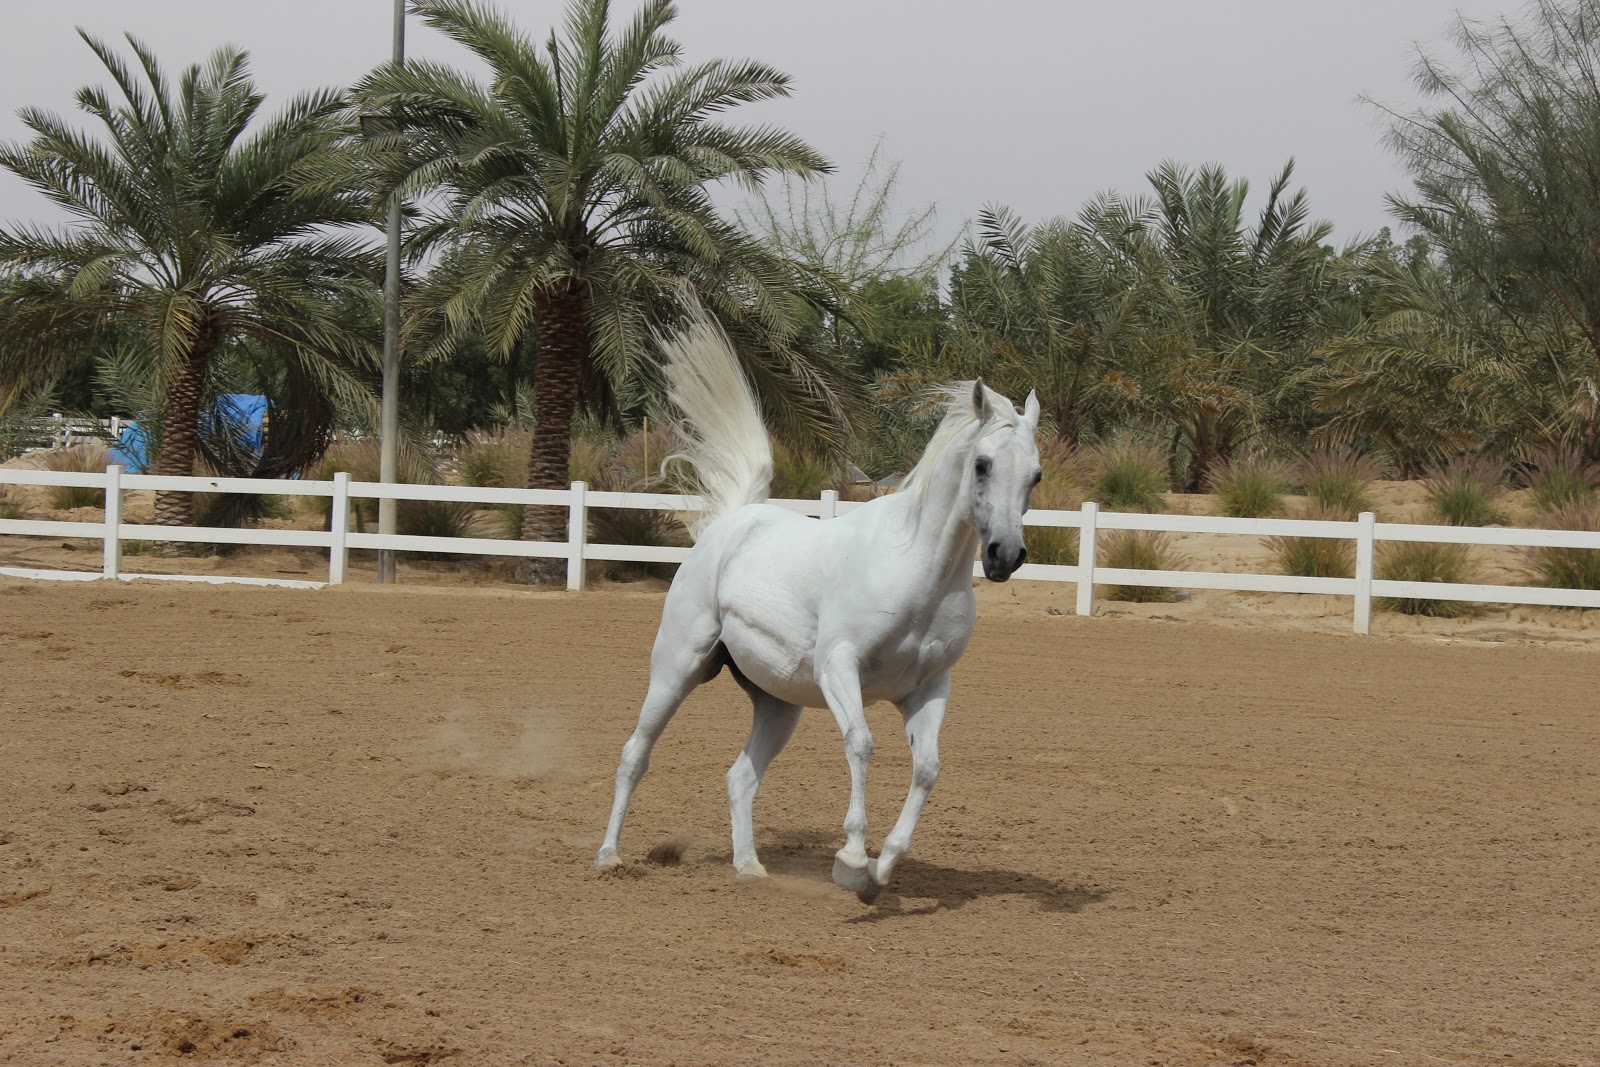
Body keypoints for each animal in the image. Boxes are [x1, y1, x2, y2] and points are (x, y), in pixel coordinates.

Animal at [596, 304, 1042, 902]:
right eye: (983, 464)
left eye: (1036, 474)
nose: (1005, 554)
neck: (915, 571)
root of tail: (732, 521)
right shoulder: (839, 667)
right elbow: (861, 744)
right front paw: (851, 860)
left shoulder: (928, 687)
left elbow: (927, 767)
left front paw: (882, 870)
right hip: (676, 669)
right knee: (634, 755)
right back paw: (609, 856)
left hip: (777, 703)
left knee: (740, 777)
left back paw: (749, 866)